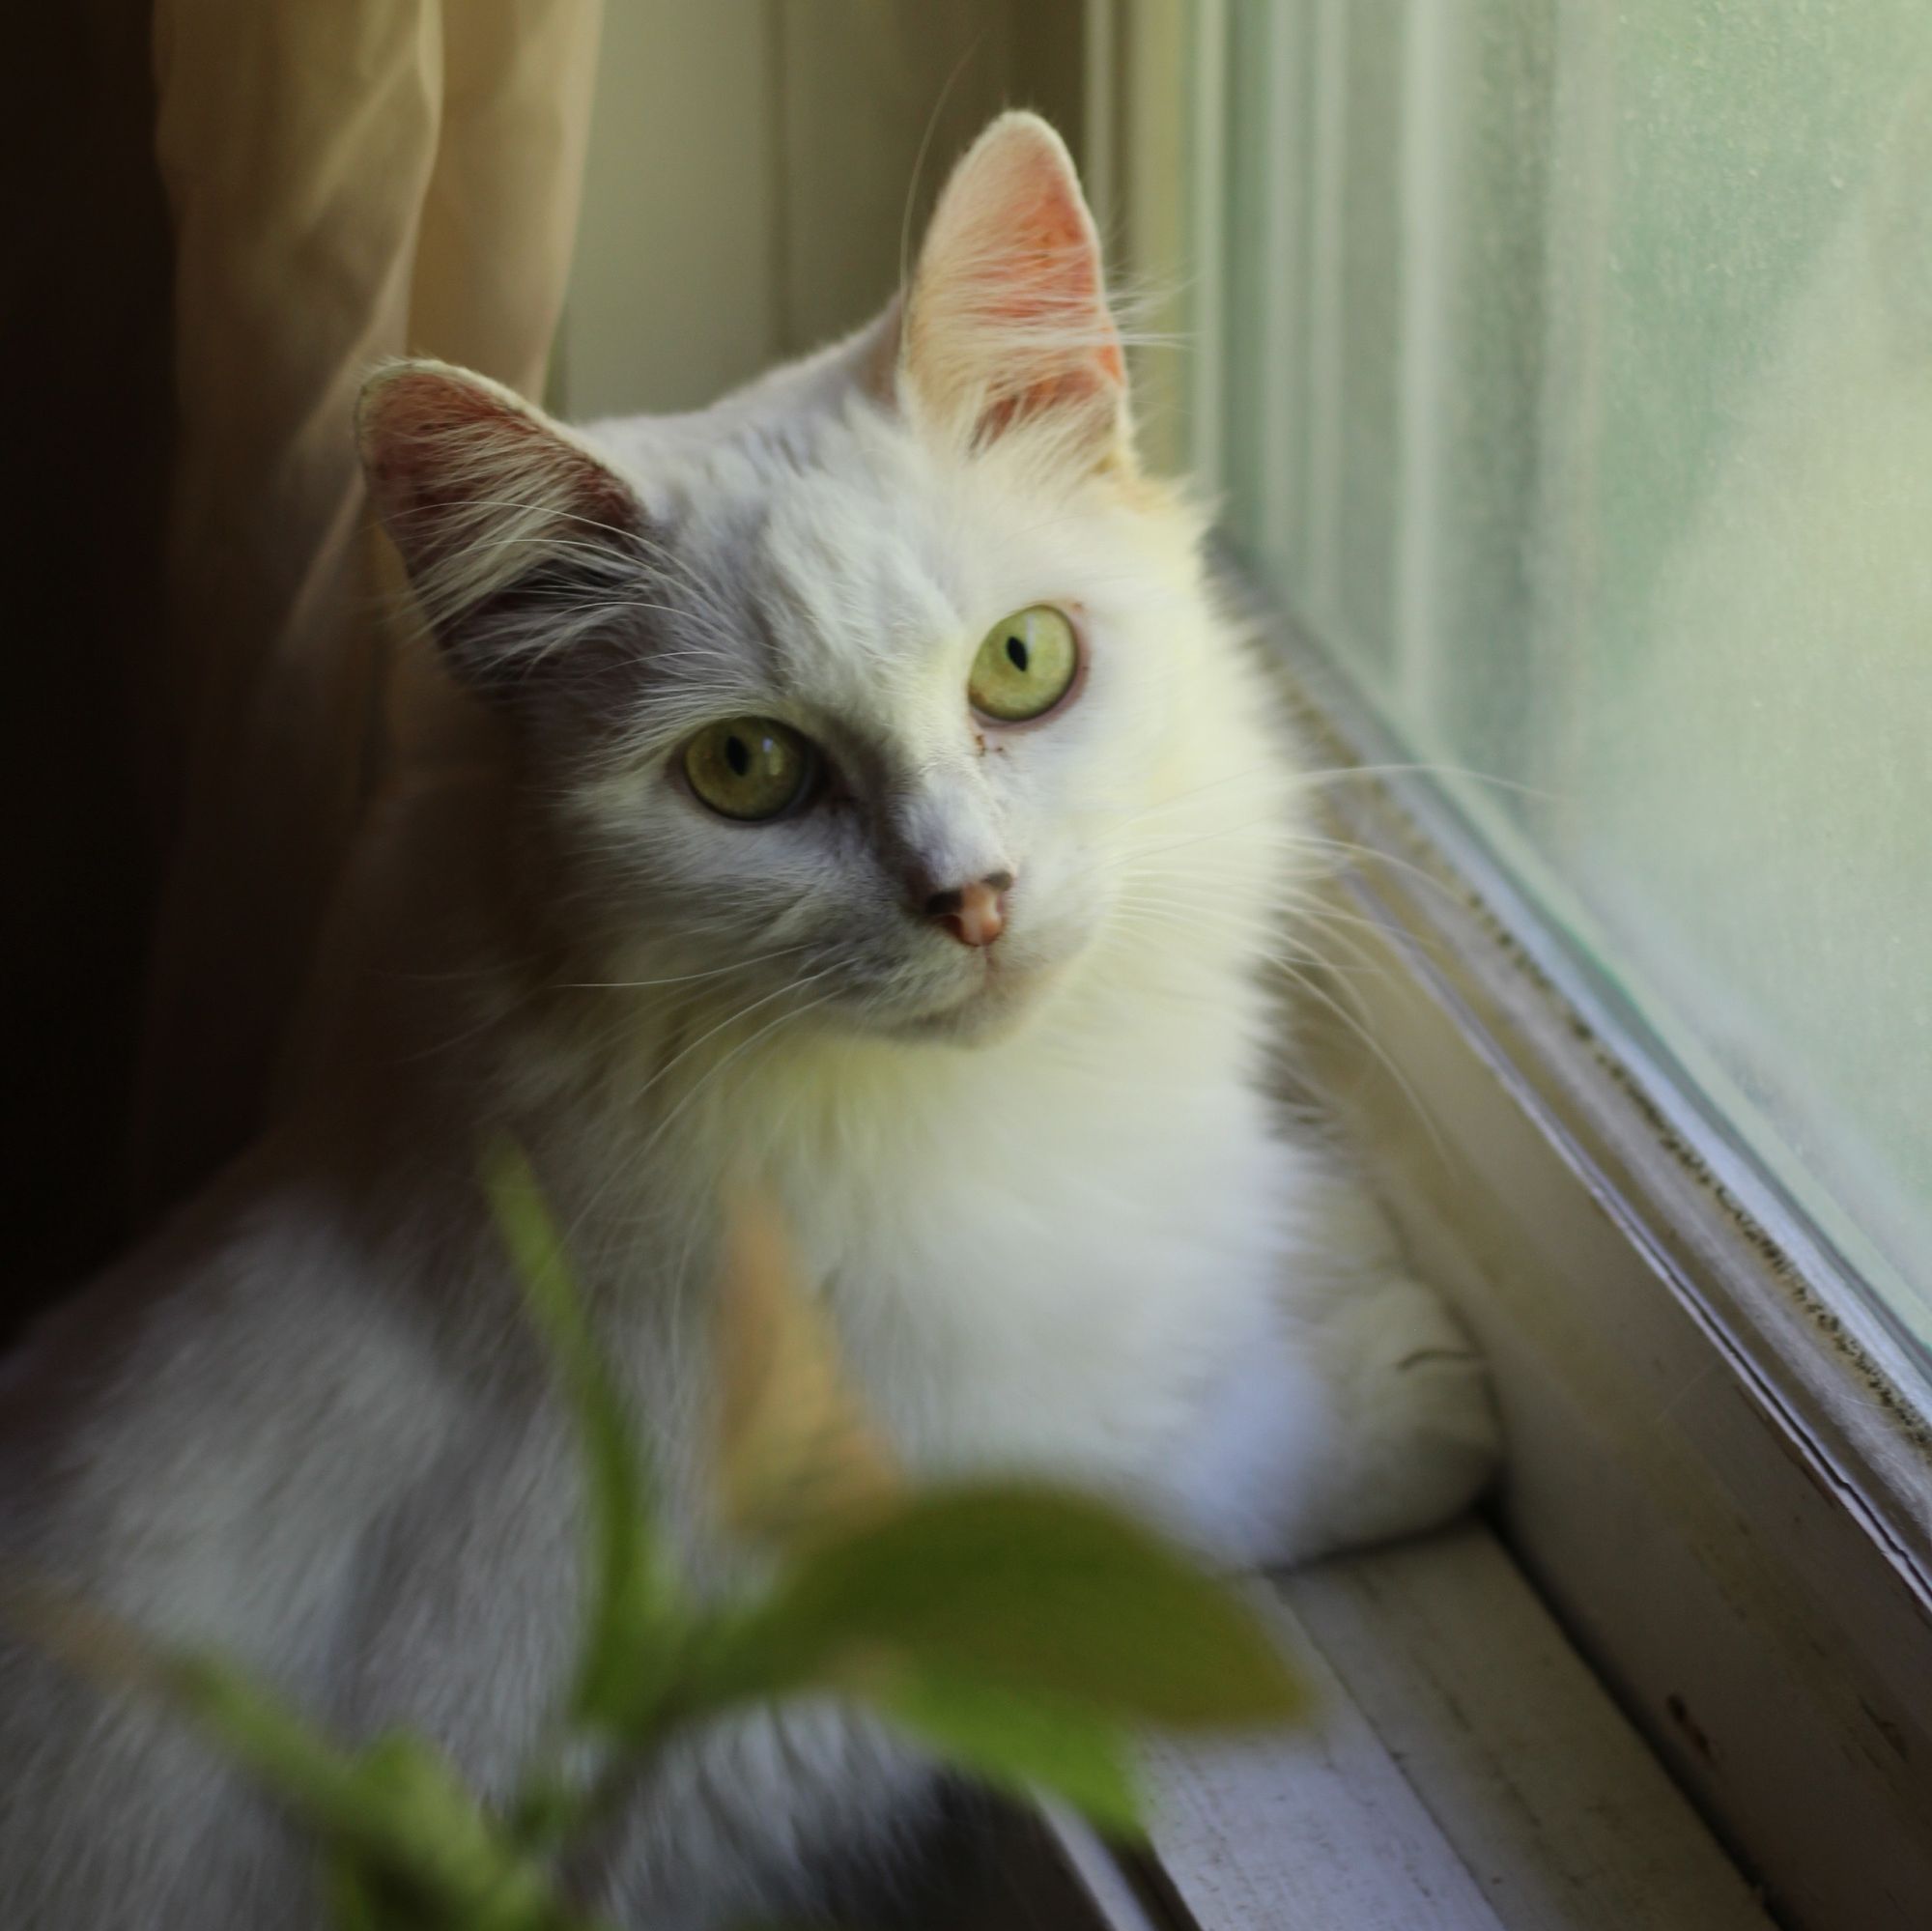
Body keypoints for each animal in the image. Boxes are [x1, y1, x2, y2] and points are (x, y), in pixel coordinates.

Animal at [0, 120, 1492, 1931]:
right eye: (745, 770)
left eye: (1023, 664)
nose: (972, 896)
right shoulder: (671, 1710)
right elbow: (1125, 1500)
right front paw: (1397, 1377)